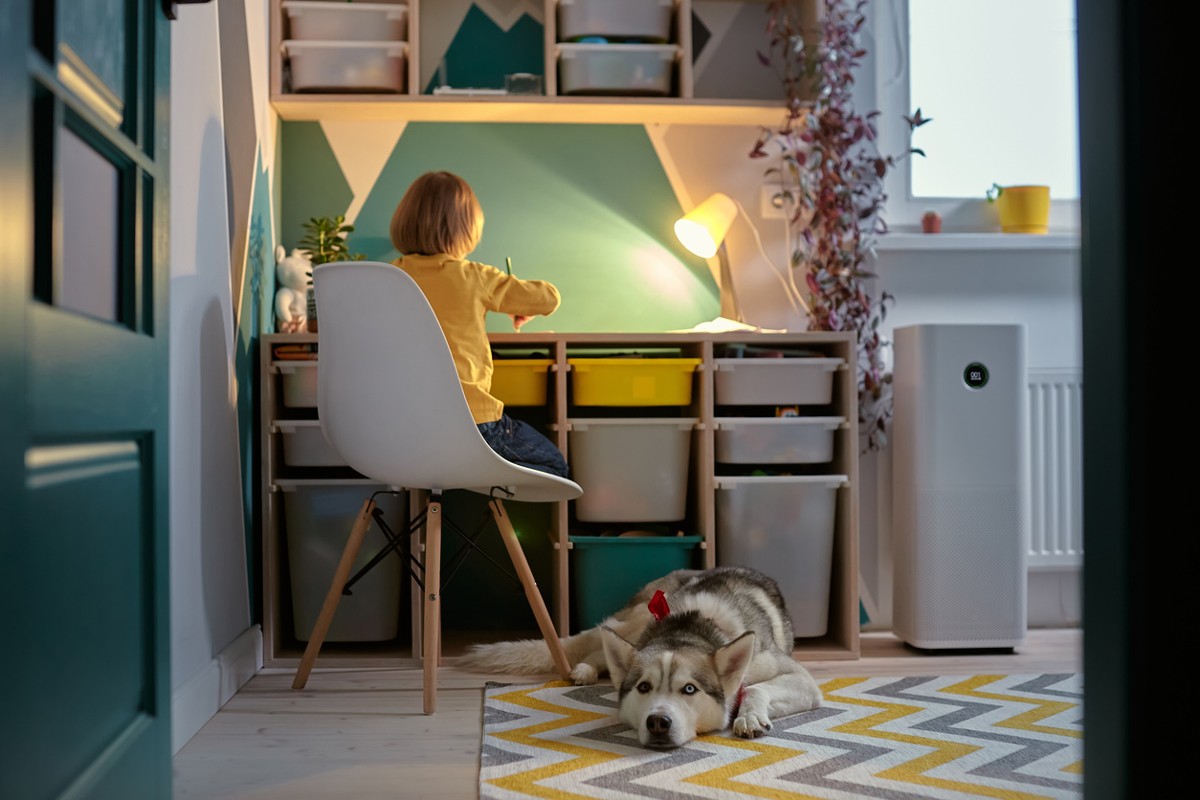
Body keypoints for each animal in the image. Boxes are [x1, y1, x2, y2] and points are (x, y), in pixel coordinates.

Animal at [453, 566, 820, 748]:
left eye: (689, 690)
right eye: (644, 687)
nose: (658, 722)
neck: (691, 625)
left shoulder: (801, 680)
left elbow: (756, 687)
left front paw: (749, 716)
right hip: (642, 615)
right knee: (601, 639)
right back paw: (584, 669)